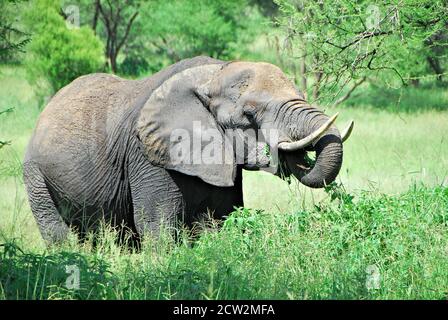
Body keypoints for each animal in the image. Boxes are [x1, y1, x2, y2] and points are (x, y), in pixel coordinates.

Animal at [22, 56, 354, 245]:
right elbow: (156, 225)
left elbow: (219, 220)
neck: (213, 74)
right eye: (249, 114)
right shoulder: (148, 155)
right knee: (57, 234)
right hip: (35, 175)